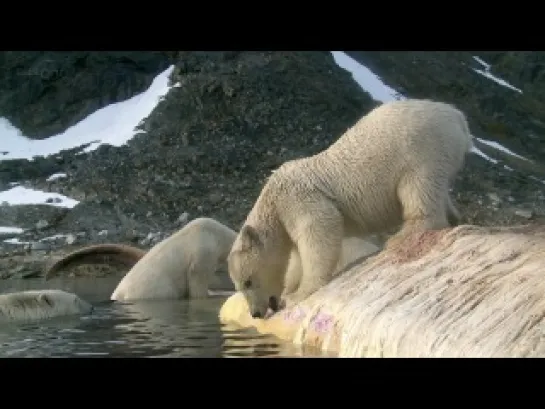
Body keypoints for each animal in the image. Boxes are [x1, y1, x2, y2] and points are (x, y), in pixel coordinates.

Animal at [227, 97, 474, 318]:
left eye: (248, 281)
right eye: (239, 286)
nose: (256, 314)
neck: (272, 199)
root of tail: (458, 117)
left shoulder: (298, 198)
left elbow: (320, 229)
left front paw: (299, 294)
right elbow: (297, 255)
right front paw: (290, 288)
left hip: (421, 150)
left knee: (418, 188)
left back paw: (404, 234)